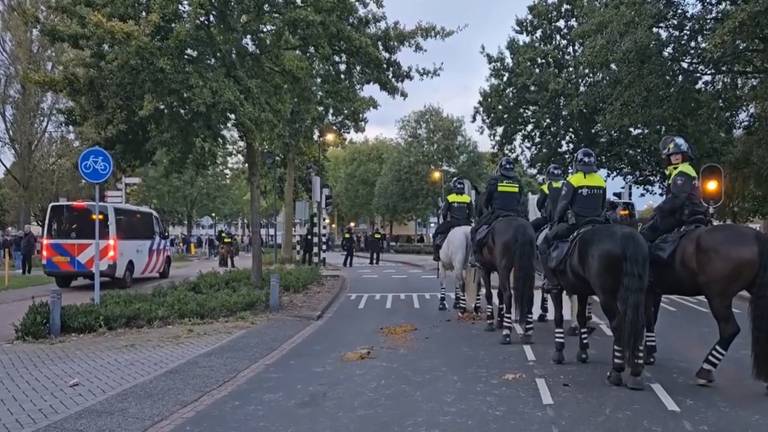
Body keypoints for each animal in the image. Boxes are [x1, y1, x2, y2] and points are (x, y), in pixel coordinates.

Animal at [544, 224, 648, 390]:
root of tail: (628, 237)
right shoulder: (582, 290)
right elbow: (581, 318)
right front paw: (583, 351)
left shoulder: (556, 288)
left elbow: (559, 317)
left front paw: (558, 352)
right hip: (637, 292)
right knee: (638, 323)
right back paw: (635, 373)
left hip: (606, 295)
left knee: (618, 323)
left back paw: (616, 372)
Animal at [640, 224, 768, 390]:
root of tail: (757, 236)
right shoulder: (655, 290)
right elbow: (652, 319)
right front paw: (649, 352)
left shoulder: (648, 289)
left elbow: (647, 319)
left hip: (718, 297)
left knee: (729, 330)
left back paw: (705, 371)